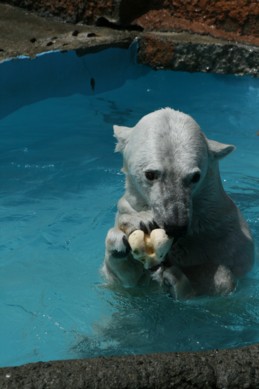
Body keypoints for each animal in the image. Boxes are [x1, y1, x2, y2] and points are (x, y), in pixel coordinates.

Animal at [102, 107, 256, 298]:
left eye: (195, 176)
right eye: (150, 174)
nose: (175, 225)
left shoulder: (229, 240)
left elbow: (222, 279)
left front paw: (176, 280)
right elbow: (126, 281)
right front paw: (129, 231)